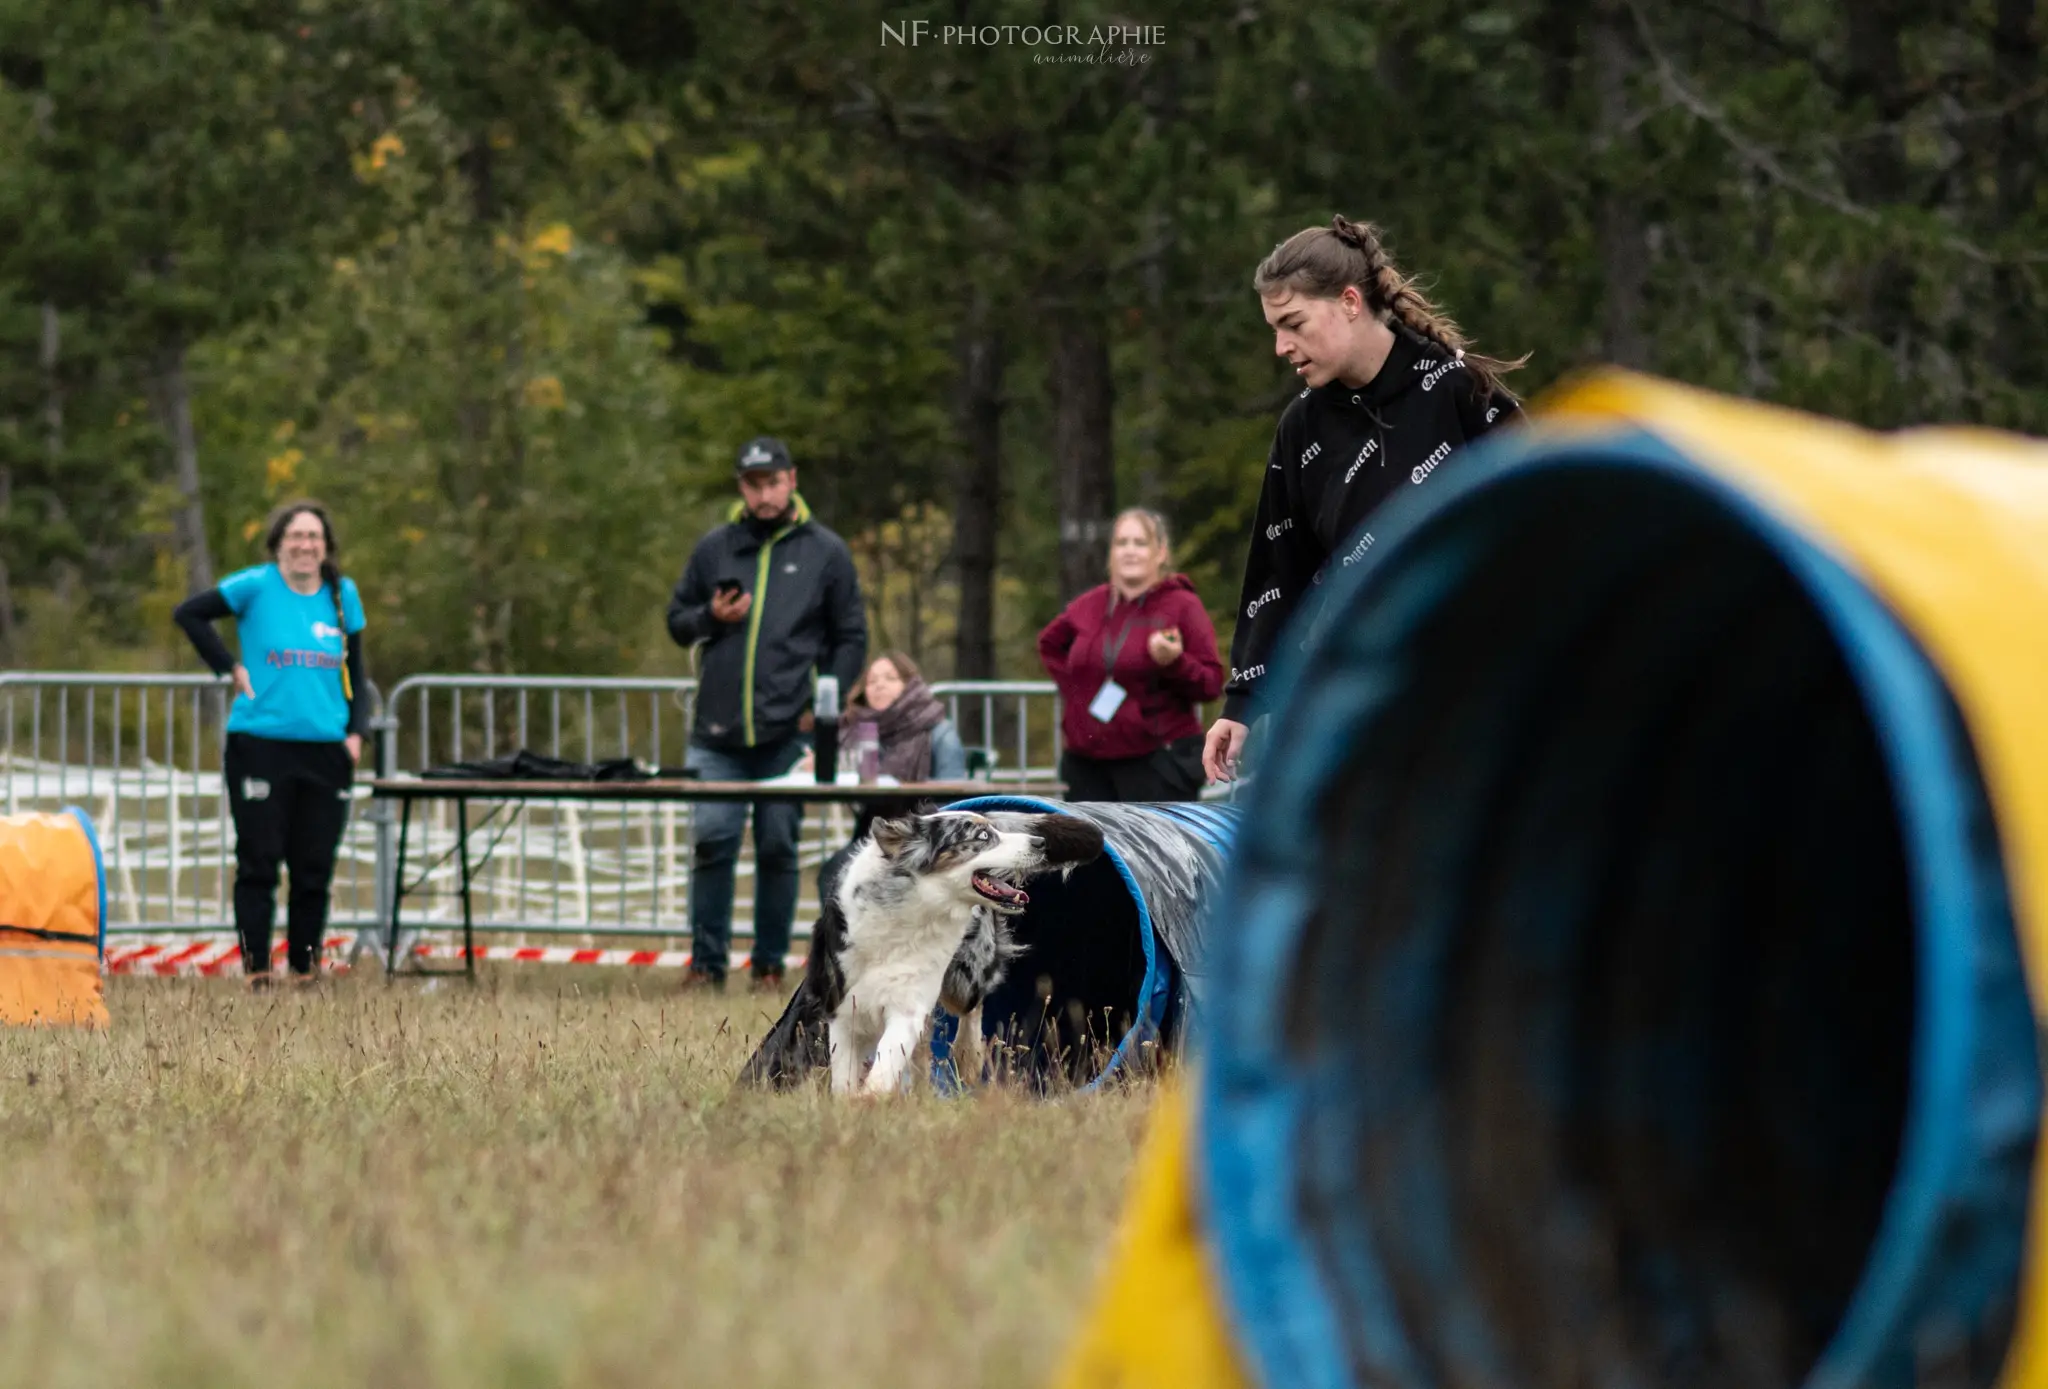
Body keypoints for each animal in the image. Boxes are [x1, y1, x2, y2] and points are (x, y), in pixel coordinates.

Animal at [737, 811, 1105, 1089]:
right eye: (983, 836)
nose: (1040, 843)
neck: (911, 914)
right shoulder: (841, 1008)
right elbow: (845, 1080)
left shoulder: (907, 1005)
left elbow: (884, 1069)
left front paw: (870, 1101)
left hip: (964, 978)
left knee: (971, 1010)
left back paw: (967, 1059)